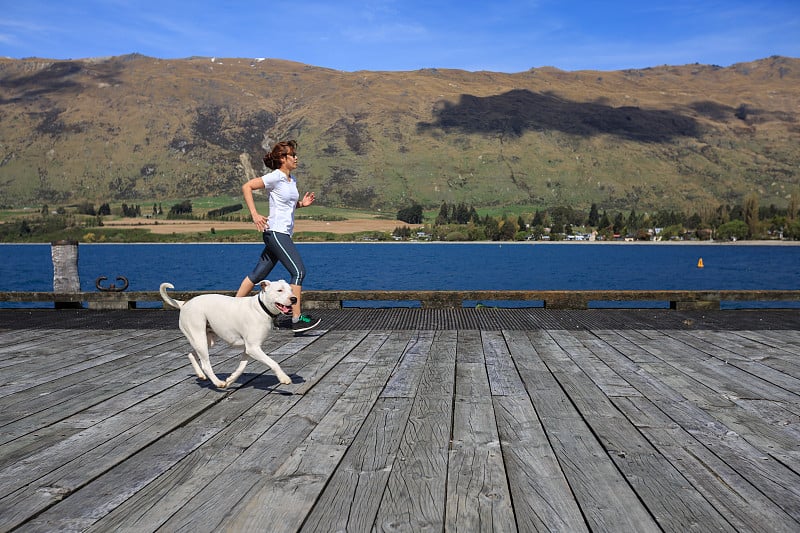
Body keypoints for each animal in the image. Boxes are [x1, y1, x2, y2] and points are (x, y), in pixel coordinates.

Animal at [158, 280, 296, 388]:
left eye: (291, 290)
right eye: (279, 290)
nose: (294, 299)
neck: (261, 308)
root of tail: (185, 303)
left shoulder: (249, 349)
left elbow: (241, 367)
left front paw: (231, 379)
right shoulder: (253, 348)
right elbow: (273, 363)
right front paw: (284, 378)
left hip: (207, 341)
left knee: (191, 354)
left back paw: (201, 375)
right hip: (199, 337)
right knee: (205, 364)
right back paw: (218, 382)